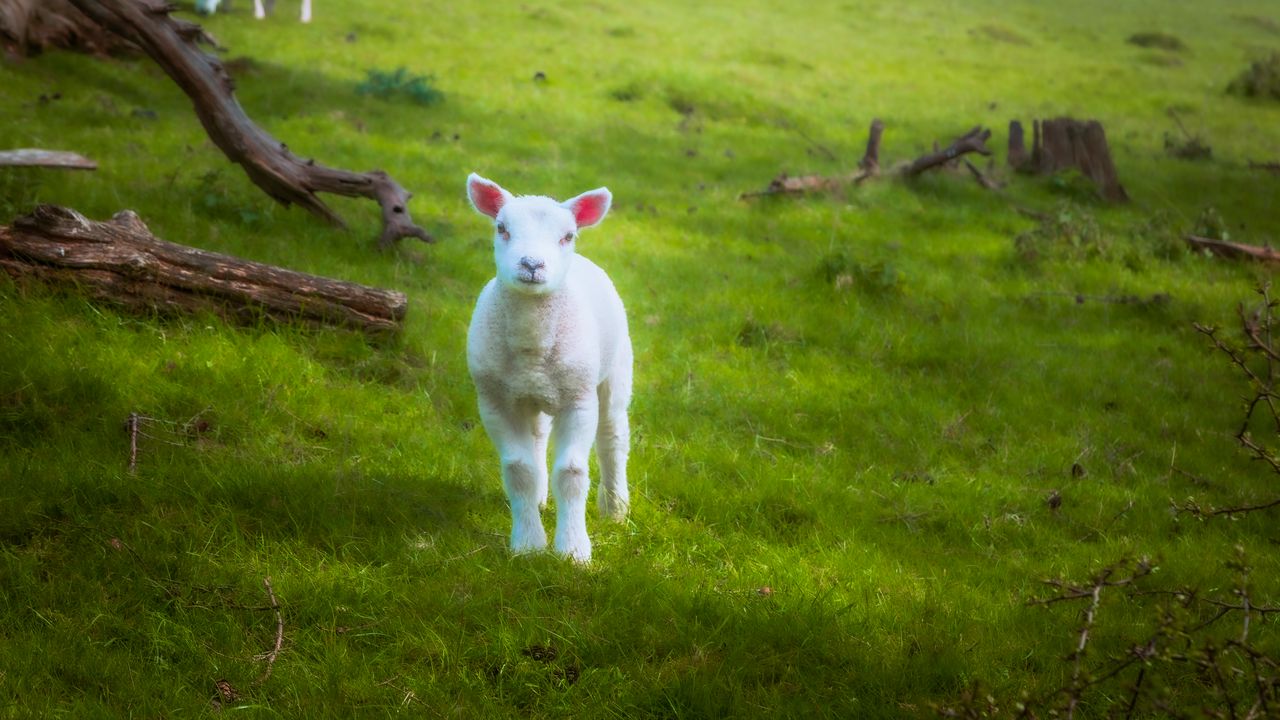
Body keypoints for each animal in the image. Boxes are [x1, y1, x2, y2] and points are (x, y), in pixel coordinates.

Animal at [468, 174, 632, 561]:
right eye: (501, 228)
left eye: (567, 235)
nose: (532, 264)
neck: (532, 346)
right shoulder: (494, 401)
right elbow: (519, 470)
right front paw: (528, 545)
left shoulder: (579, 401)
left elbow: (572, 473)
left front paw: (573, 550)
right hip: (531, 393)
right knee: (538, 438)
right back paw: (541, 499)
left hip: (614, 372)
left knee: (613, 437)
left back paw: (615, 508)